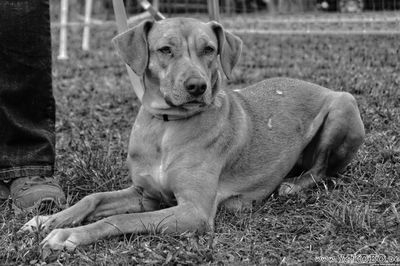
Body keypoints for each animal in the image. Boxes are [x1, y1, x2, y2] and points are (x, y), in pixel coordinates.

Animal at [21, 17, 366, 250]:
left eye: (209, 49)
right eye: (165, 50)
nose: (197, 87)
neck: (166, 127)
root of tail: (321, 86)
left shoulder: (193, 212)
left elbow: (118, 220)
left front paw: (70, 235)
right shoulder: (146, 195)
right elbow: (93, 198)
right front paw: (49, 219)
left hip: (344, 105)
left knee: (322, 171)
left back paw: (293, 186)